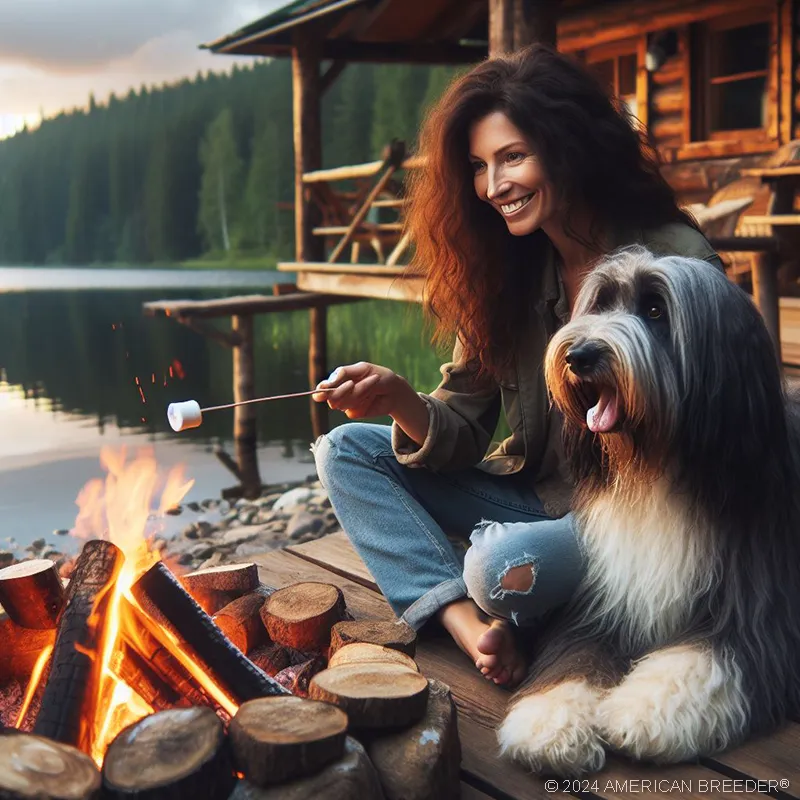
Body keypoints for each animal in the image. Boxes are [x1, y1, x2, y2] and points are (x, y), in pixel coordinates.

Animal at [500, 248, 800, 776]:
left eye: (656, 311)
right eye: (601, 302)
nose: (579, 356)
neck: (656, 469)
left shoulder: (765, 608)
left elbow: (708, 655)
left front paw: (642, 710)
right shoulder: (607, 596)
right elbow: (575, 652)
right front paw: (550, 722)